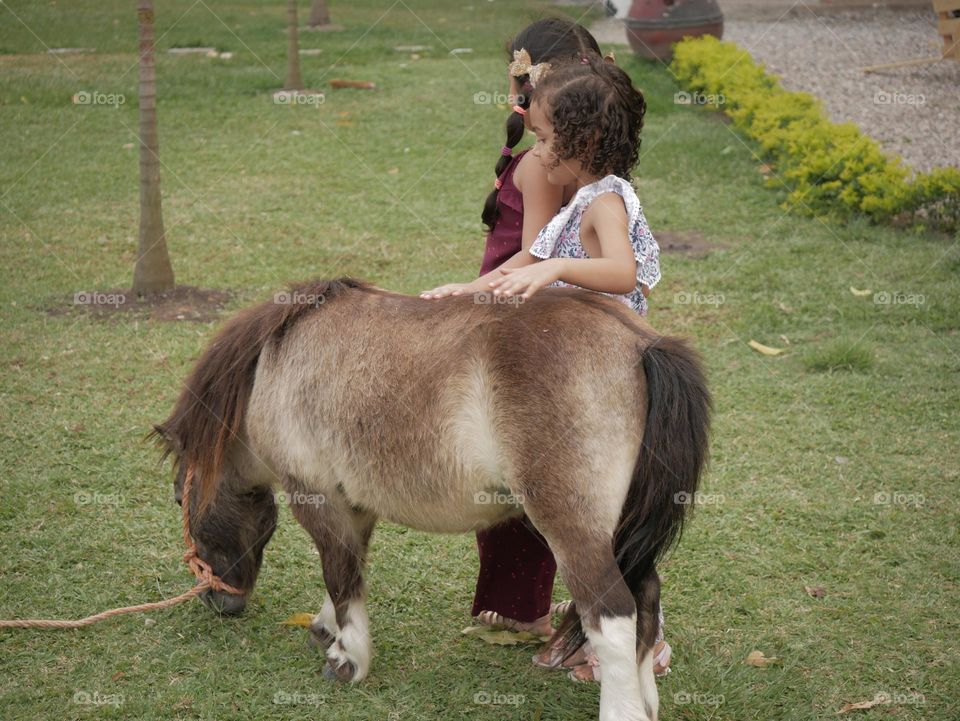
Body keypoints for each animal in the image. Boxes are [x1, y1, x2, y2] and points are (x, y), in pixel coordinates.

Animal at [152, 277, 710, 721]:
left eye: (181, 499)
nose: (218, 601)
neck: (277, 360)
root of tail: (639, 344)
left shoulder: (316, 497)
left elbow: (339, 572)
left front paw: (348, 659)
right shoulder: (355, 503)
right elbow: (349, 569)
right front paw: (328, 630)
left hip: (571, 531)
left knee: (612, 613)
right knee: (646, 597)